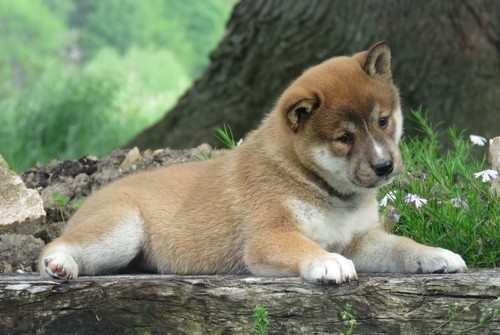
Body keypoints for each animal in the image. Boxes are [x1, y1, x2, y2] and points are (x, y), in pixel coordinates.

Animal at [40, 42, 468, 284]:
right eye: (344, 138)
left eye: (382, 121)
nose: (384, 167)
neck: (313, 181)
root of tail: (97, 193)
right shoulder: (269, 234)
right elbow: (306, 247)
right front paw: (328, 263)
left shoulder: (361, 239)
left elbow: (401, 245)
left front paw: (436, 255)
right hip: (123, 228)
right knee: (55, 246)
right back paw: (59, 265)